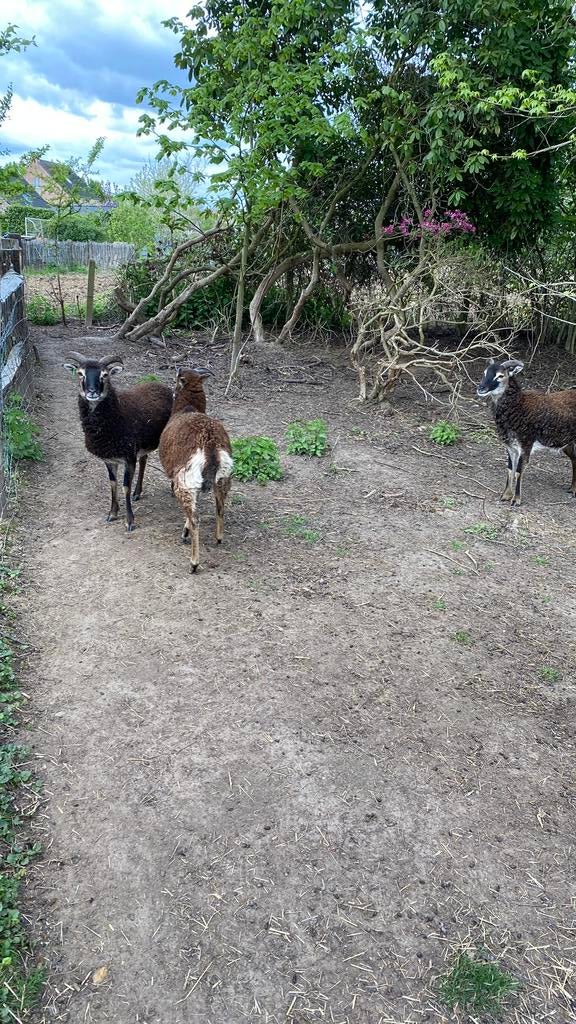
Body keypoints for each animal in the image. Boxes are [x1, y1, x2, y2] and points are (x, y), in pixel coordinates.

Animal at [64, 352, 174, 531]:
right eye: (80, 374)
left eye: (105, 375)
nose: (92, 392)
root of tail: (160, 385)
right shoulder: (110, 459)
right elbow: (113, 484)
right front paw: (112, 513)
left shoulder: (128, 457)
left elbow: (125, 487)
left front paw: (130, 521)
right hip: (142, 445)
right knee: (144, 460)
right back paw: (138, 493)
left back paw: (172, 489)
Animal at [159, 367, 233, 572]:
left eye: (177, 380)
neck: (188, 408)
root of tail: (211, 446)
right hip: (223, 478)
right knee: (220, 506)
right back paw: (219, 538)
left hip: (185, 481)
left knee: (195, 518)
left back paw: (193, 562)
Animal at [476, 357, 576, 506]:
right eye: (484, 372)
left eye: (501, 376)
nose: (481, 388)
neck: (519, 407)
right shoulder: (511, 447)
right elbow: (510, 469)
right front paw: (505, 495)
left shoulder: (526, 444)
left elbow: (518, 471)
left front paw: (516, 500)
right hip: (568, 443)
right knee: (575, 459)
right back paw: (572, 489)